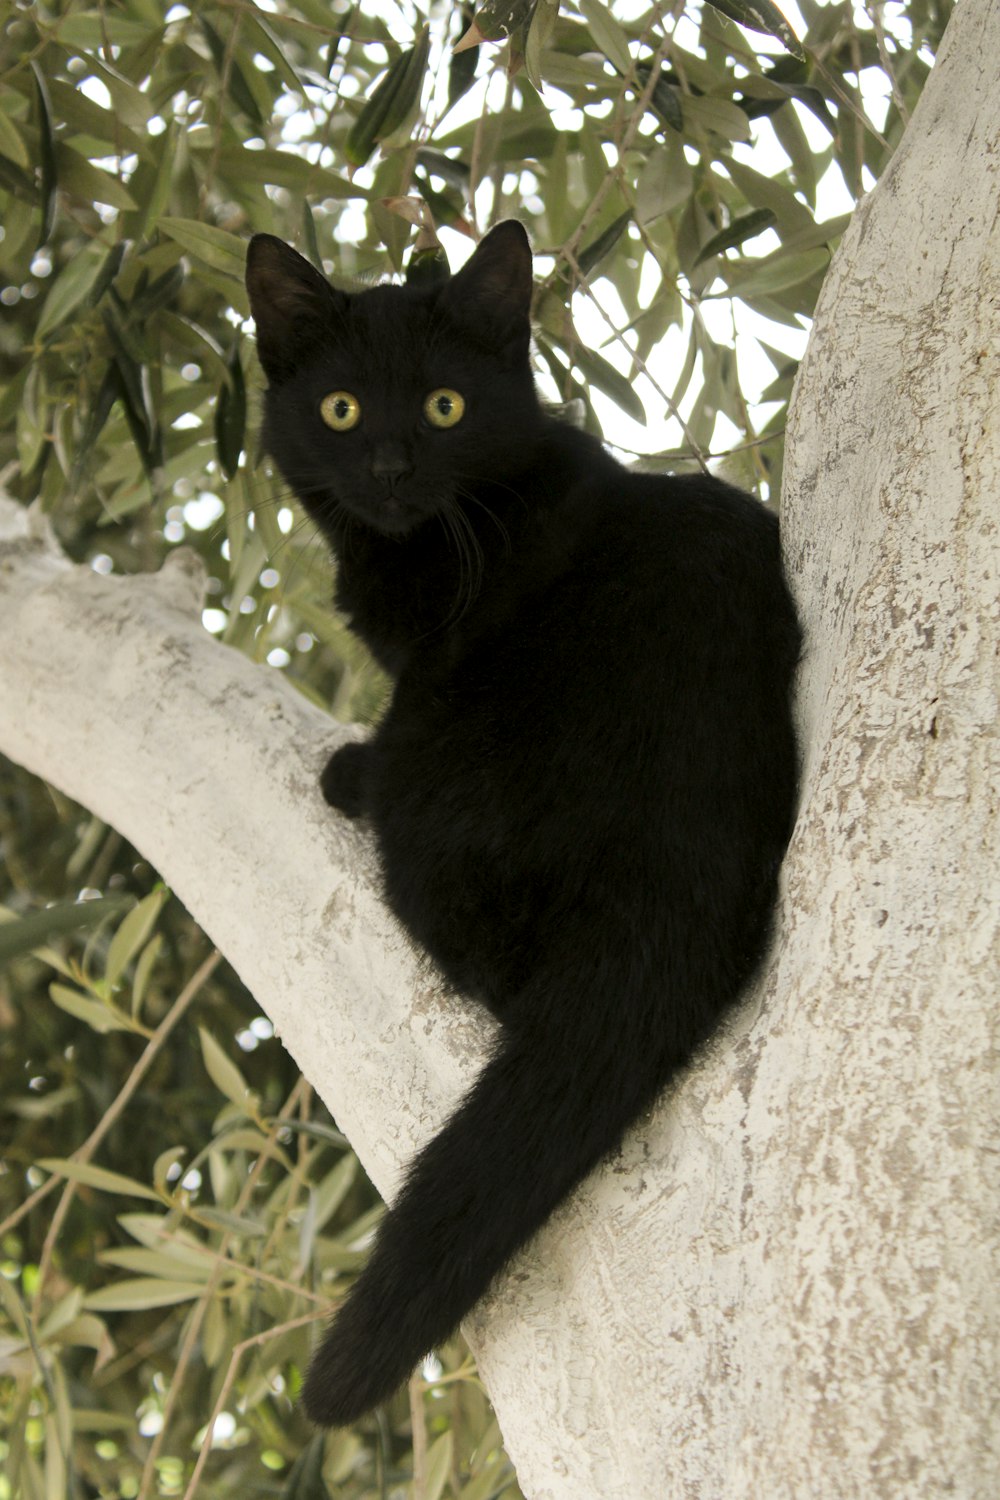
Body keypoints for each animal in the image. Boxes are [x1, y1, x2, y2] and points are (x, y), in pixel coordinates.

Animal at [245, 217, 803, 1422]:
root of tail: (667, 887)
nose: (392, 469)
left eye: (446, 406)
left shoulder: (426, 669)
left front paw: (346, 764)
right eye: (341, 410)